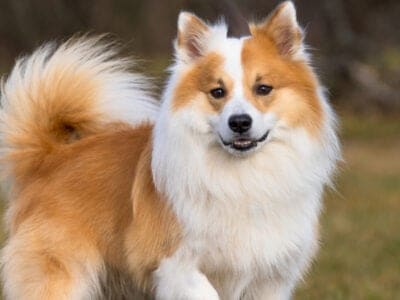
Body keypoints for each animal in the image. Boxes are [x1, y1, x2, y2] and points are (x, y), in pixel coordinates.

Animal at [0, 1, 340, 298]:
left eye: (263, 88)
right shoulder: (177, 266)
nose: (240, 122)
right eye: (218, 92)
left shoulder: (269, 278)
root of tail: (51, 157)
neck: (242, 176)